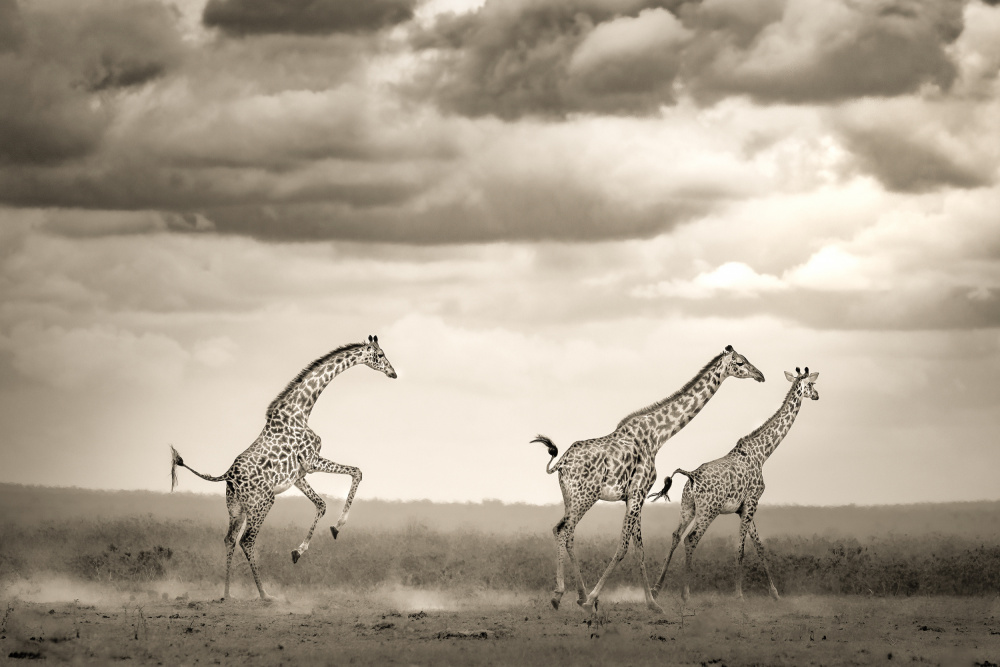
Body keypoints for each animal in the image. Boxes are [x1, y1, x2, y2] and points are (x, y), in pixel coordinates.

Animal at [169, 335, 397, 601]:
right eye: (380, 355)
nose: (393, 373)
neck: (300, 410)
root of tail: (227, 475)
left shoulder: (298, 475)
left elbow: (321, 504)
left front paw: (301, 550)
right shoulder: (311, 460)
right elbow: (356, 471)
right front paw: (337, 527)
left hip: (236, 508)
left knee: (229, 539)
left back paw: (227, 594)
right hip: (263, 502)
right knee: (246, 541)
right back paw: (265, 594)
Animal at [532, 345, 765, 615]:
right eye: (739, 362)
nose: (760, 375)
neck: (657, 436)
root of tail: (561, 463)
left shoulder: (634, 496)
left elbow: (639, 550)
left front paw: (653, 604)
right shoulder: (638, 493)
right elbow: (624, 547)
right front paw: (594, 599)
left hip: (570, 496)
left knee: (564, 532)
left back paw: (572, 595)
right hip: (584, 496)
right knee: (563, 530)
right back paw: (565, 596)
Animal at [648, 366, 819, 602]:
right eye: (810, 384)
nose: (817, 395)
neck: (762, 454)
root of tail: (691, 477)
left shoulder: (744, 507)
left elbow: (759, 546)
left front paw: (775, 593)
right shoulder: (752, 502)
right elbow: (741, 548)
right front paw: (739, 594)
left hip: (687, 507)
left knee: (675, 536)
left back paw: (656, 588)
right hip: (708, 511)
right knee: (691, 539)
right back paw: (685, 594)